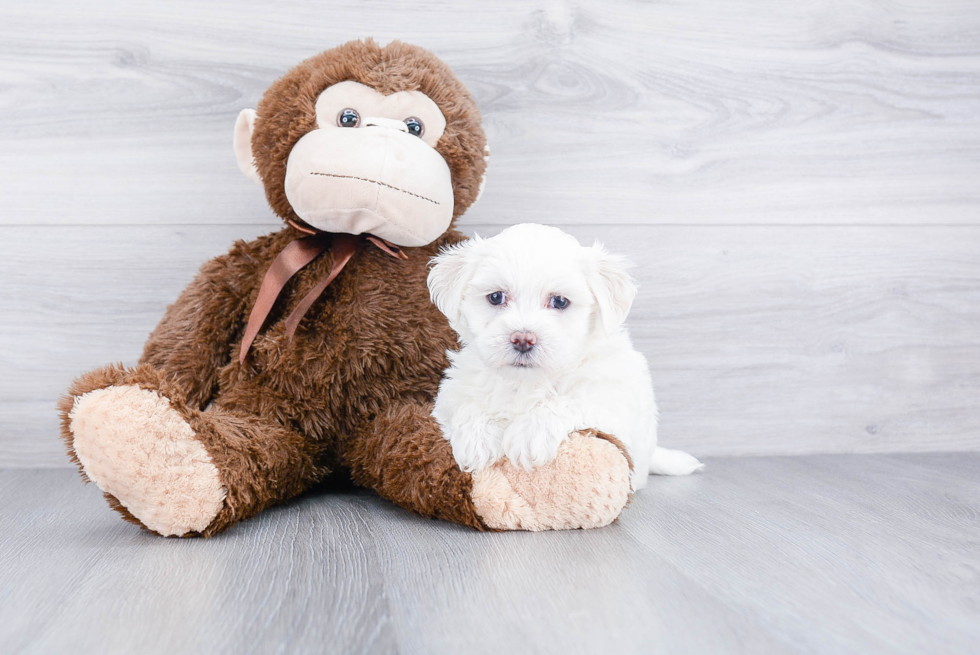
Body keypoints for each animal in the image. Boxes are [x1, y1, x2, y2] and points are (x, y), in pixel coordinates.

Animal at [428, 223, 704, 490]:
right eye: (496, 297)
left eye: (560, 301)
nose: (523, 339)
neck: (526, 382)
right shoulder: (451, 395)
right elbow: (465, 405)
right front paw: (478, 439)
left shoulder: (611, 405)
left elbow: (569, 401)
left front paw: (530, 434)